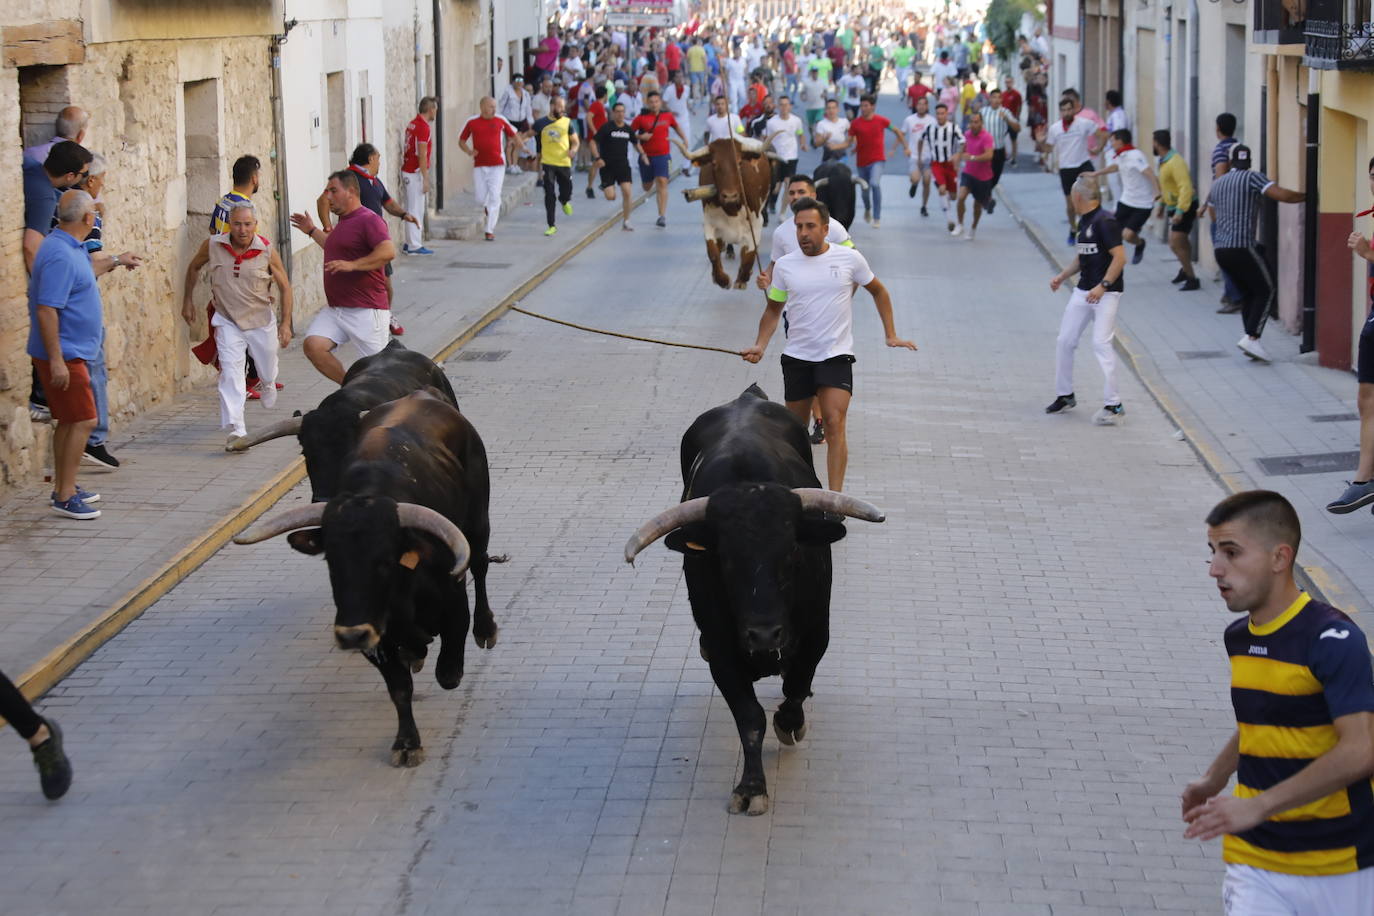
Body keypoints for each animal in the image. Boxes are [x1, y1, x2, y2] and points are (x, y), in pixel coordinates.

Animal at [236, 387, 500, 769]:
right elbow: (399, 687)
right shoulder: (374, 635)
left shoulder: (453, 605)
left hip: (479, 521)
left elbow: (448, 673)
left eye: (385, 561)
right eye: (331, 561)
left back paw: (486, 628)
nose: (350, 635)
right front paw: (406, 743)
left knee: (480, 565)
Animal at [621, 384, 879, 813]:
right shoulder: (722, 651)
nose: (763, 634)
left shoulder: (817, 634)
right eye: (724, 558)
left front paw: (790, 724)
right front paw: (751, 787)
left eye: (792, 552)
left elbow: (795, 687)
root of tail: (747, 397)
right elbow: (750, 718)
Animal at [678, 138, 780, 288]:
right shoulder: (709, 222)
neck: (732, 210)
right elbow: (712, 252)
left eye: (739, 162)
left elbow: (750, 253)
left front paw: (743, 278)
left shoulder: (756, 223)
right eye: (714, 163)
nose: (730, 195)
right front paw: (722, 279)